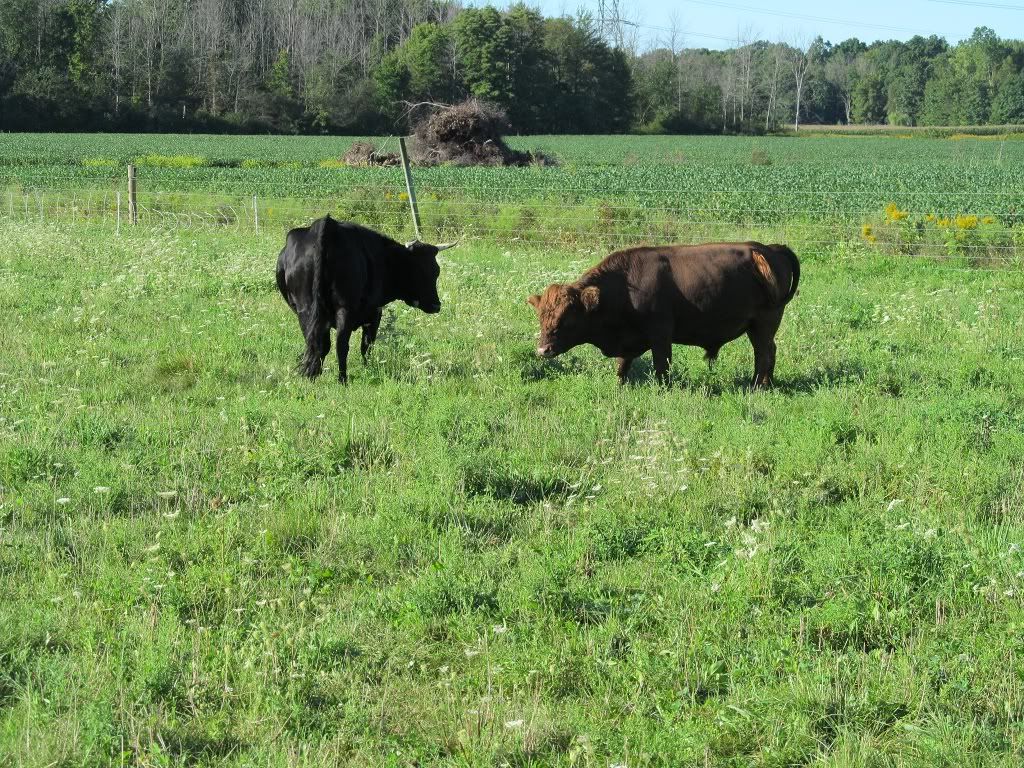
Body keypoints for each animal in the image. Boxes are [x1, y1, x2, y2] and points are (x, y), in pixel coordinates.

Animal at [276, 215, 455, 383]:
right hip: (344, 309)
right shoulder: (375, 312)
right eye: (419, 270)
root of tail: (327, 225)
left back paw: (312, 375)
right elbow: (367, 345)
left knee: (316, 343)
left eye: (436, 271)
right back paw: (342, 379)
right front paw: (369, 368)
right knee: (341, 345)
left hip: (305, 310)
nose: (436, 305)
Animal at [527, 242, 800, 389]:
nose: (543, 350)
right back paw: (765, 383)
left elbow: (661, 365)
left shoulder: (660, 335)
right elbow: (622, 365)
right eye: (541, 318)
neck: (625, 286)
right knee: (769, 352)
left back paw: (758, 386)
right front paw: (619, 386)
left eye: (567, 318)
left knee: (763, 354)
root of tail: (769, 248)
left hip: (763, 324)